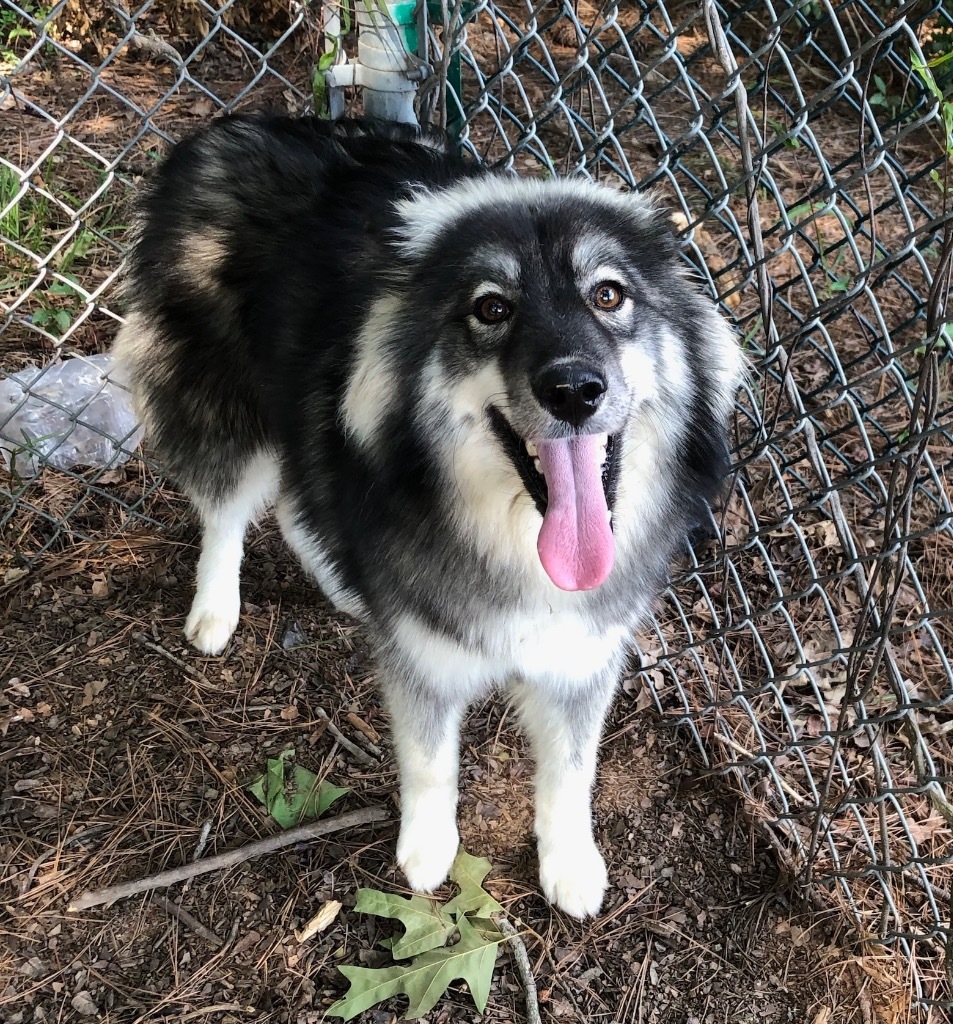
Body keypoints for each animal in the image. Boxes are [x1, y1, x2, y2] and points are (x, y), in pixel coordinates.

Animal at [110, 114, 737, 921]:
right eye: (492, 307)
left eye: (608, 294)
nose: (573, 388)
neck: (515, 540)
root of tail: (225, 128)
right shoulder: (427, 668)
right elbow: (431, 763)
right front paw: (428, 851)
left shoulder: (580, 655)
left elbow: (572, 772)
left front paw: (570, 862)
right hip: (230, 405)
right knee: (226, 509)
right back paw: (217, 608)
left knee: (297, 507)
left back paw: (347, 587)